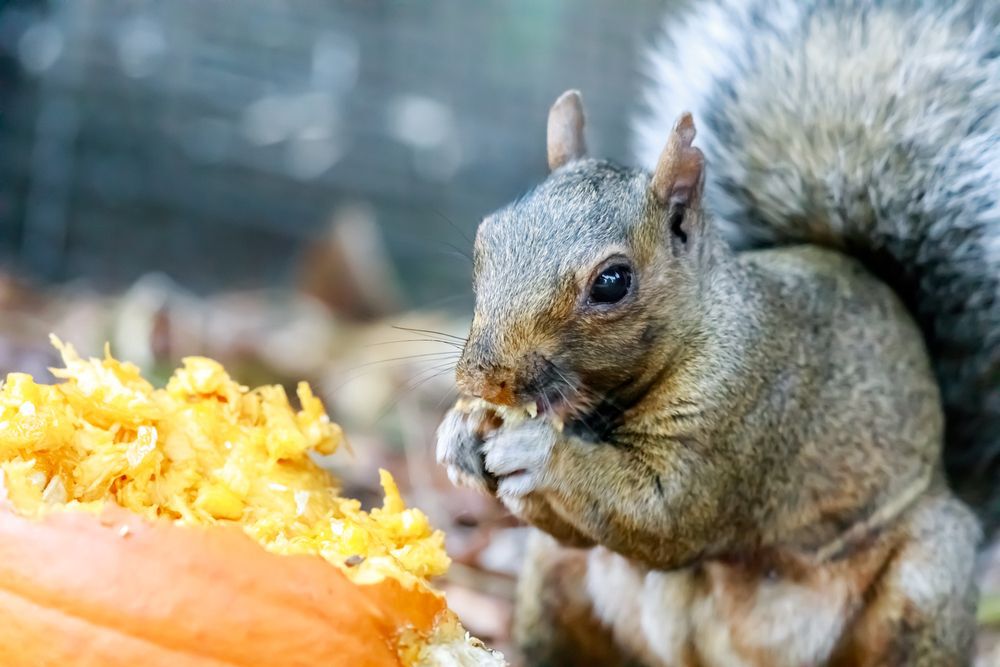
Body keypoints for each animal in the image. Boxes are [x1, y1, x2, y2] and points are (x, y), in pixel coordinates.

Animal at [436, 0, 999, 665]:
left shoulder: (745, 413)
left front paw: (536, 451)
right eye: (486, 237)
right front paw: (459, 431)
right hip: (553, 584)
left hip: (922, 583)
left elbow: (665, 516)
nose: (483, 380)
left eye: (612, 282)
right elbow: (580, 529)